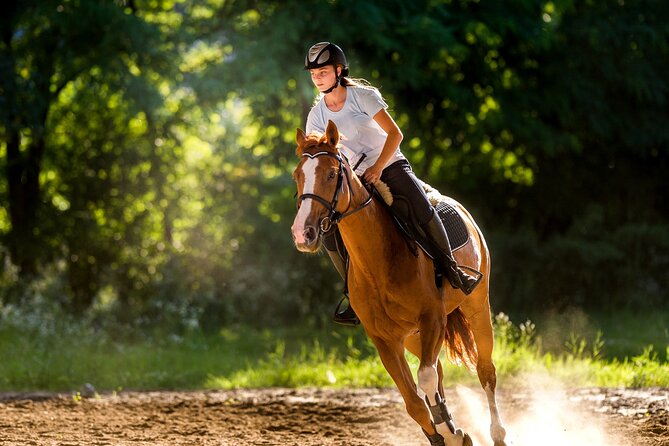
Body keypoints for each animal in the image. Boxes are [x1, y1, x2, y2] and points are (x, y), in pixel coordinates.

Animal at [291, 120, 507, 446]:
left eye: (330, 174)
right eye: (298, 176)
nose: (303, 233)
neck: (377, 264)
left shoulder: (432, 320)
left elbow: (425, 380)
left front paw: (450, 431)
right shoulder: (384, 339)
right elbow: (414, 402)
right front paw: (447, 434)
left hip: (476, 307)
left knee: (485, 370)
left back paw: (497, 433)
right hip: (414, 336)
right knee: (439, 372)